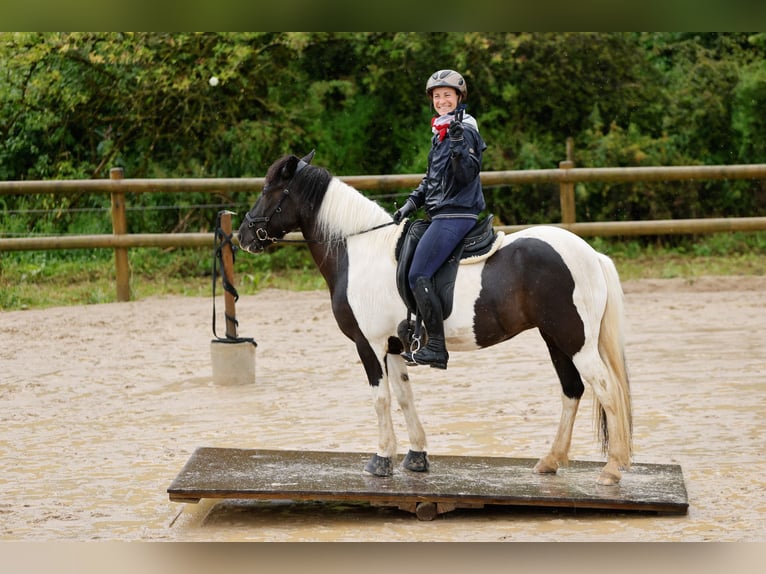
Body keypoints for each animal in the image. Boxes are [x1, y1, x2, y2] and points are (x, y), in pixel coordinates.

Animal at [238, 151, 632, 485]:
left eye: (269, 190)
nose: (243, 235)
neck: (360, 251)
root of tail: (590, 253)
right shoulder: (394, 346)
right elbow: (404, 396)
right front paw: (416, 456)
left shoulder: (370, 345)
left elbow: (380, 399)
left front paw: (381, 459)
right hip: (556, 340)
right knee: (572, 390)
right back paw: (551, 461)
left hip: (574, 340)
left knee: (606, 389)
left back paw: (611, 469)